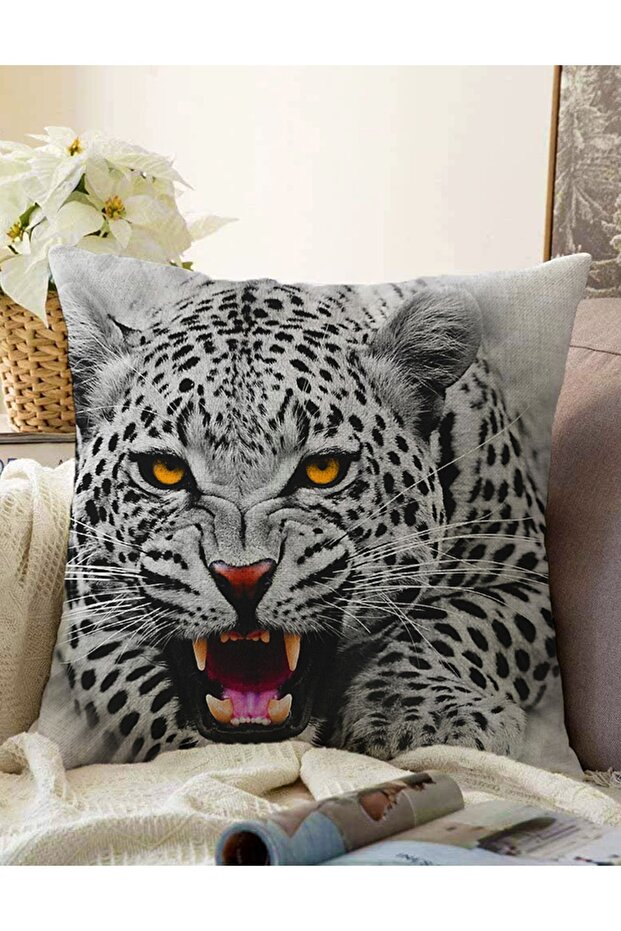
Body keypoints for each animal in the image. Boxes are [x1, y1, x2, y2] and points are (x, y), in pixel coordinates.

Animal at [37, 259, 558, 768]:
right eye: (165, 471)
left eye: (323, 470)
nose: (242, 578)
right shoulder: (87, 611)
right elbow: (140, 701)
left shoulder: (527, 576)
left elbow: (455, 624)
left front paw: (419, 718)